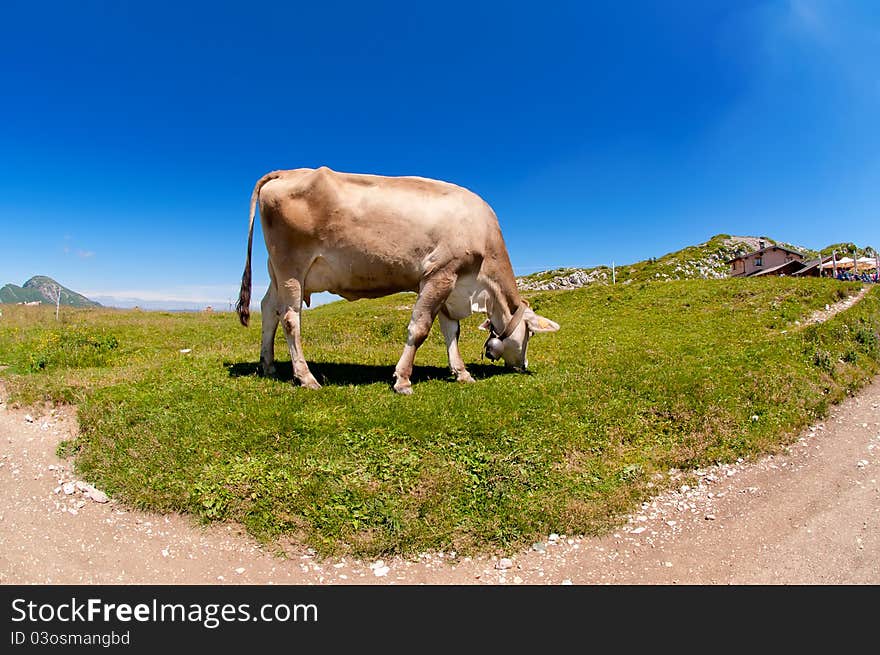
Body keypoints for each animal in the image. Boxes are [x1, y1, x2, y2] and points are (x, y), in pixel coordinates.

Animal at [237, 168, 560, 394]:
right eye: (530, 335)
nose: (523, 366)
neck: (478, 288)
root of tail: (286, 172)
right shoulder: (440, 273)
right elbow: (420, 328)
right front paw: (403, 379)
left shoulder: (451, 283)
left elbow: (451, 332)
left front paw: (462, 373)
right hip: (292, 266)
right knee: (290, 318)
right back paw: (306, 378)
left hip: (276, 271)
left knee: (269, 309)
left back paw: (268, 365)